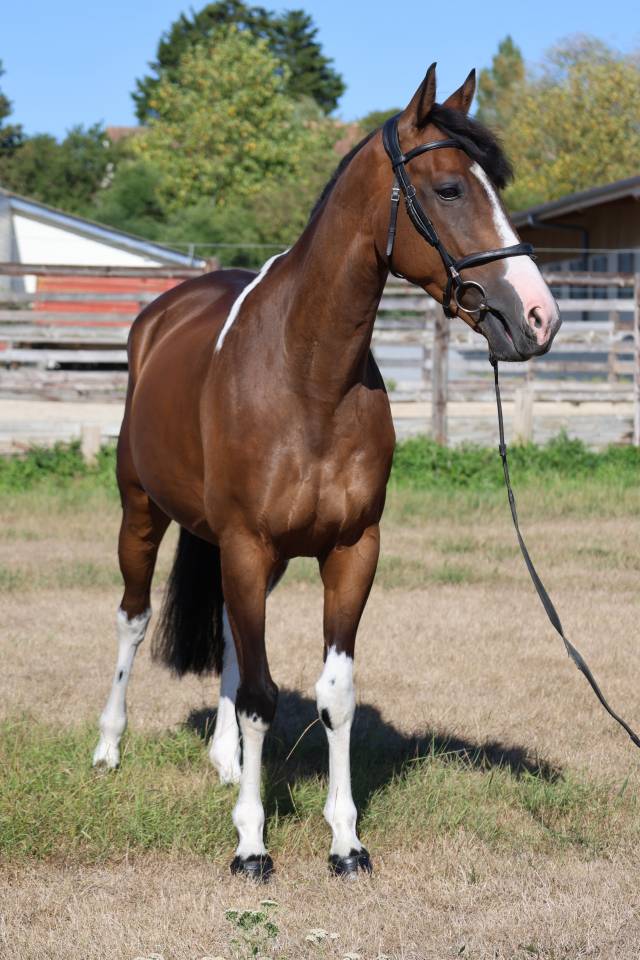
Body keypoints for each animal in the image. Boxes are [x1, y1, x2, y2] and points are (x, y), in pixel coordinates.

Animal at [92, 63, 561, 880]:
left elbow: (331, 693)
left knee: (228, 635)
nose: (537, 316)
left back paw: (224, 762)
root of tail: (160, 315)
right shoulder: (246, 545)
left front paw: (345, 840)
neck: (307, 375)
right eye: (449, 188)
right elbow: (260, 695)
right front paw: (251, 843)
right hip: (142, 512)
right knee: (133, 618)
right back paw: (108, 748)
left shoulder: (350, 550)